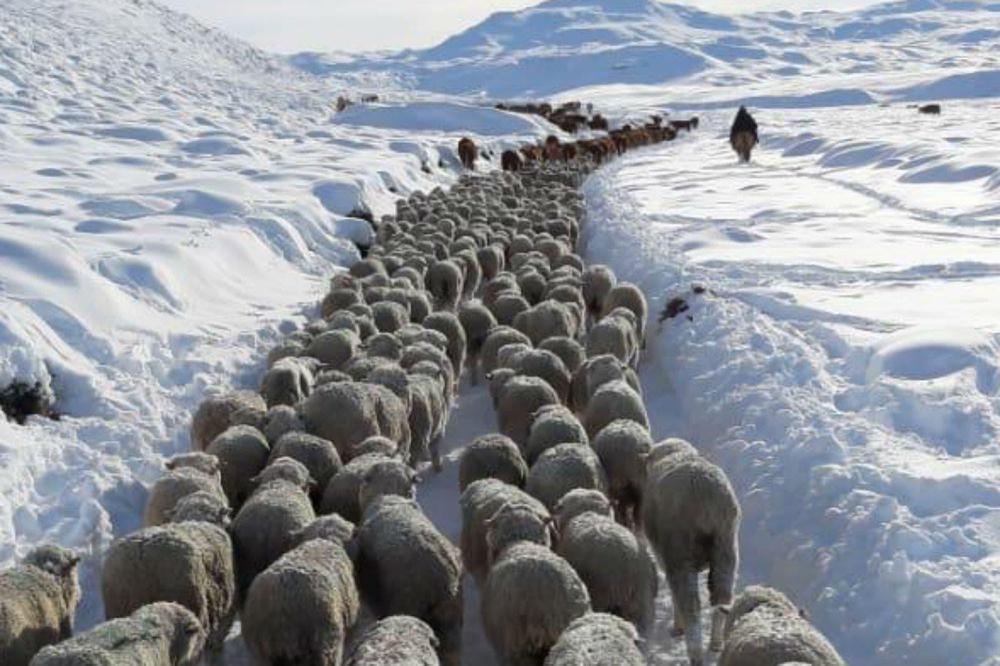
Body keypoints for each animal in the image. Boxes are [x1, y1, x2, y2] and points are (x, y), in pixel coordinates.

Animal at [643, 443, 741, 665]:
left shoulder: (665, 557)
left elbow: (673, 594)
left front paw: (677, 627)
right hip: (726, 548)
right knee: (722, 597)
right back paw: (716, 643)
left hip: (680, 552)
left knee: (691, 606)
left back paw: (694, 652)